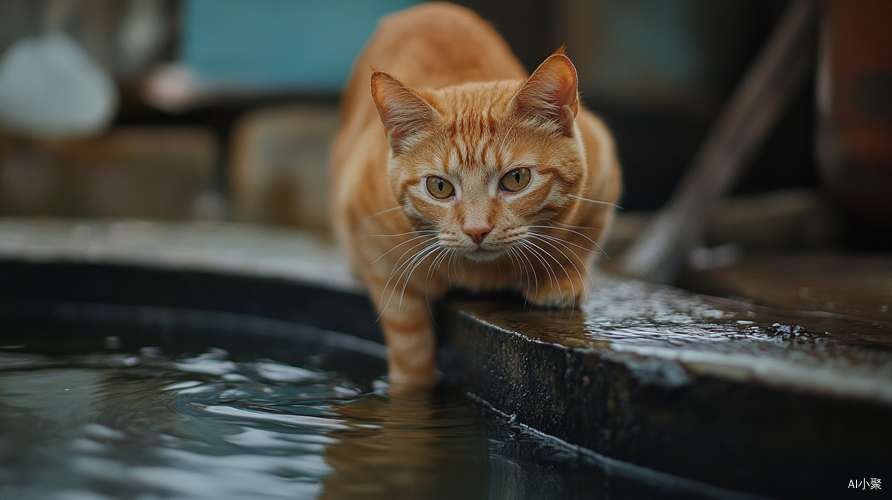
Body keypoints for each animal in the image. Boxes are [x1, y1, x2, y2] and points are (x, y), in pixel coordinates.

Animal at [332, 1, 620, 388]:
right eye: (439, 187)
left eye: (516, 179)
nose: (477, 230)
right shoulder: (373, 241)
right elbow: (408, 340)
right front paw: (412, 388)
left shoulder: (602, 166)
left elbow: (580, 241)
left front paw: (560, 278)